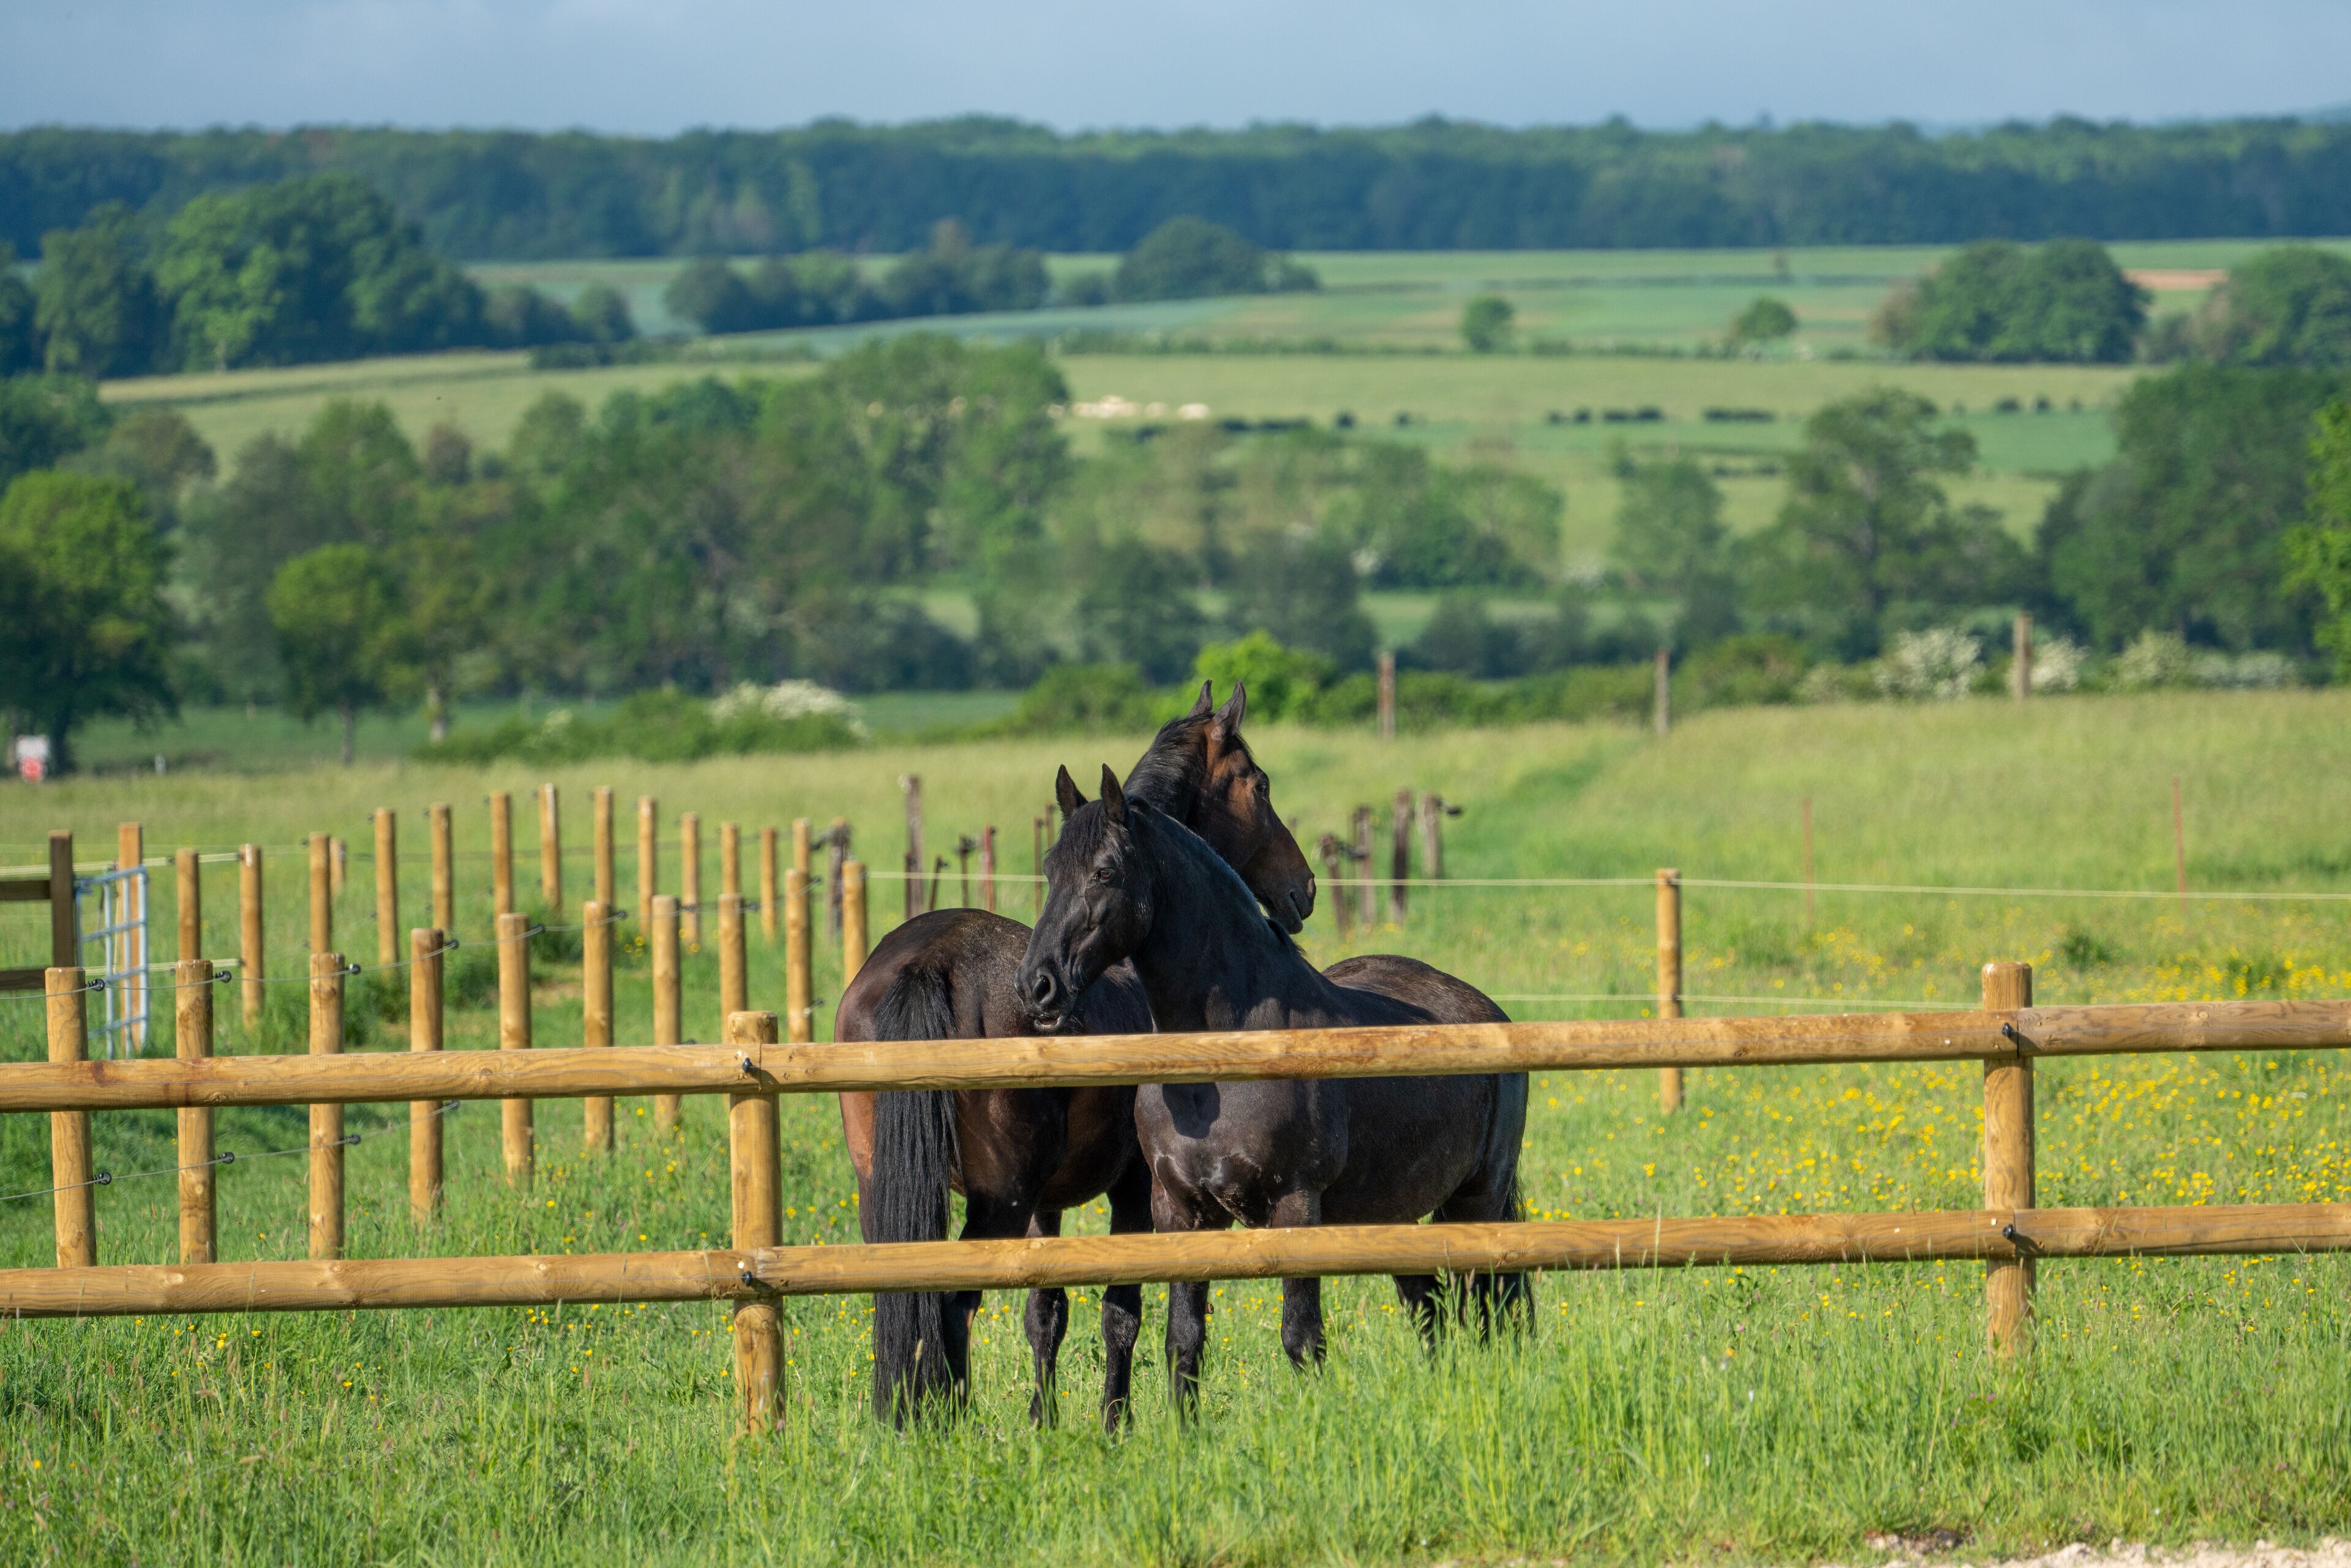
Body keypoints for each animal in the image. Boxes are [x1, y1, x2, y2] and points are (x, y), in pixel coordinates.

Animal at [837, 684, 1316, 1428]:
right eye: (1259, 784)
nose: (1303, 887)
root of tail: (926, 961)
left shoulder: (1048, 1203)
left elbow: (1046, 1311)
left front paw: (1046, 1420)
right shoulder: (1136, 1189)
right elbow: (1121, 1311)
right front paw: (1114, 1421)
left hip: (886, 1189)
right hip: (995, 1203)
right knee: (951, 1307)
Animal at [1016, 765, 1529, 1410]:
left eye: (1105, 871)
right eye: (1050, 868)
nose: (1037, 986)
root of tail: (1488, 1009)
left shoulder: (1296, 1205)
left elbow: (1302, 1338)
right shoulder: (1179, 1211)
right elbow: (1184, 1340)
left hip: (1478, 1199)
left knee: (1484, 1306)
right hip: (1395, 1211)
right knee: (1430, 1303)